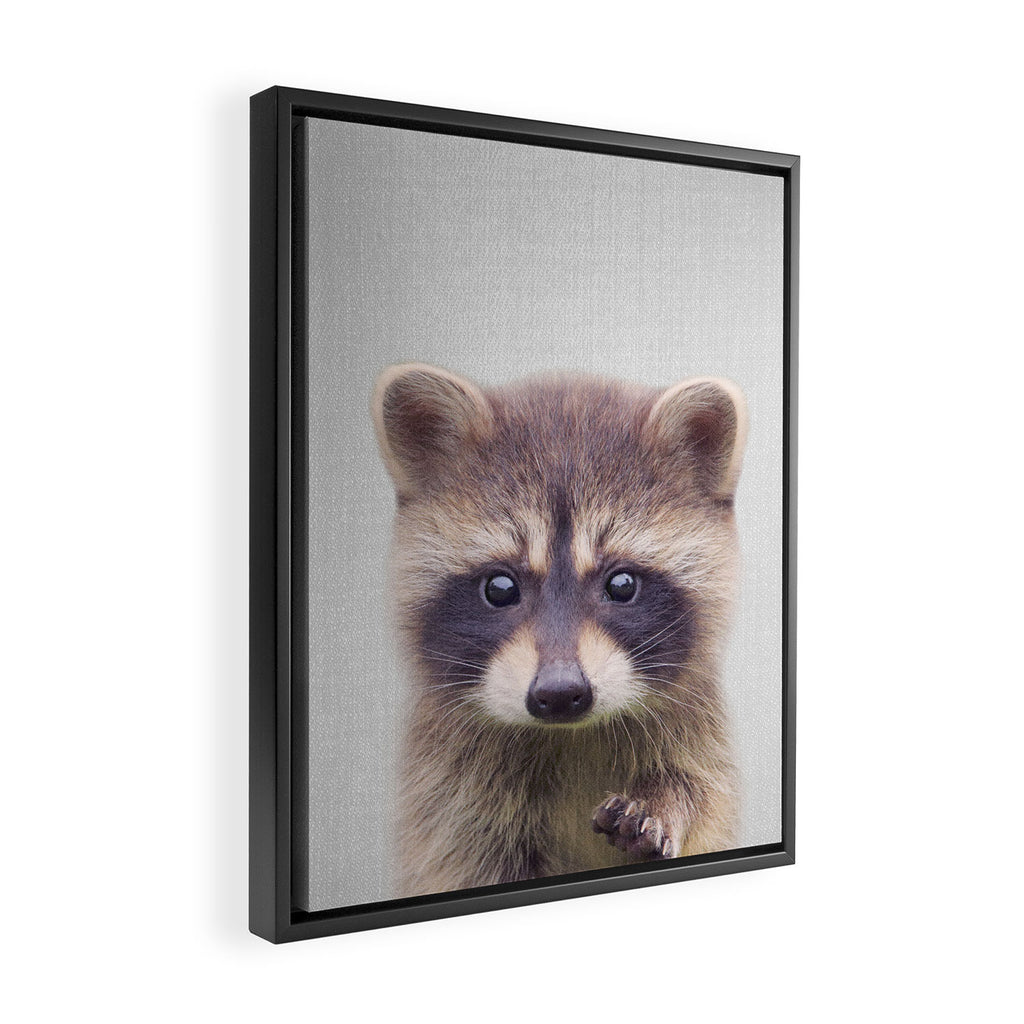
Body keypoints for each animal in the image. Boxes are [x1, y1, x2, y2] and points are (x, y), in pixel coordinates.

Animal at [372, 363, 747, 897]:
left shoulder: (699, 737)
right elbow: (456, 853)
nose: (560, 693)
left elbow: (700, 790)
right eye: (500, 588)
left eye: (622, 584)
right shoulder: (450, 796)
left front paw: (664, 802)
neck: (572, 735)